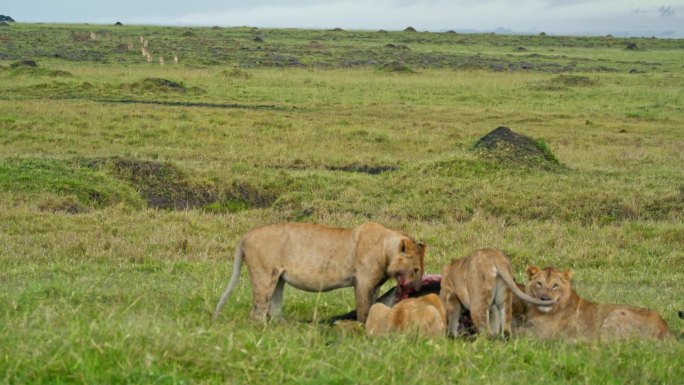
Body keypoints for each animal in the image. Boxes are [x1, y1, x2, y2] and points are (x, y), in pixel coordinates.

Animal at [214, 220, 428, 322]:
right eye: (416, 270)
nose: (418, 289)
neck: (386, 249)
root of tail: (246, 235)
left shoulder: (374, 285)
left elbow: (372, 306)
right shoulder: (363, 282)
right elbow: (363, 309)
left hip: (278, 279)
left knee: (273, 309)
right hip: (264, 276)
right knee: (257, 312)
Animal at [520, 264, 672, 340]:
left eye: (555, 285)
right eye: (539, 283)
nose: (544, 299)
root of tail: (667, 330)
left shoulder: (542, 334)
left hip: (616, 315)